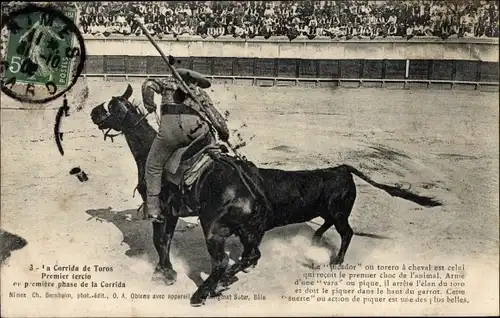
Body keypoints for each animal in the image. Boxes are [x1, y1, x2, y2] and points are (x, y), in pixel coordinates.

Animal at [90, 84, 442, 306]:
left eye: (111, 106)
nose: (93, 112)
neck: (151, 149)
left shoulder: (161, 210)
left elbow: (159, 241)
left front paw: (164, 273)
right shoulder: (174, 213)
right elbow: (163, 241)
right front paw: (166, 271)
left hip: (216, 229)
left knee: (227, 260)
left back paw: (204, 293)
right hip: (252, 230)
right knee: (251, 256)